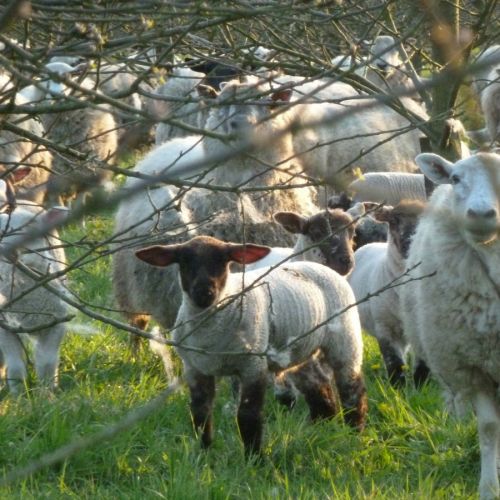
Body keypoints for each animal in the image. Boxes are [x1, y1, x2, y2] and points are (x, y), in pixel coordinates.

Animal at [136, 233, 368, 454]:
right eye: (184, 261)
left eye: (222, 261)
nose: (204, 292)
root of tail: (320, 266)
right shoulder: (195, 368)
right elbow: (200, 414)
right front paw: (204, 453)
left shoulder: (252, 366)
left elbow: (248, 416)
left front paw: (254, 458)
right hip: (299, 348)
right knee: (318, 385)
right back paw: (322, 428)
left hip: (345, 337)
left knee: (352, 389)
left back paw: (354, 433)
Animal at [348, 200, 426, 386]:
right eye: (394, 219)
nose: (410, 242)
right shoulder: (385, 328)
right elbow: (394, 363)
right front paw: (398, 388)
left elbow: (422, 365)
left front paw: (420, 386)